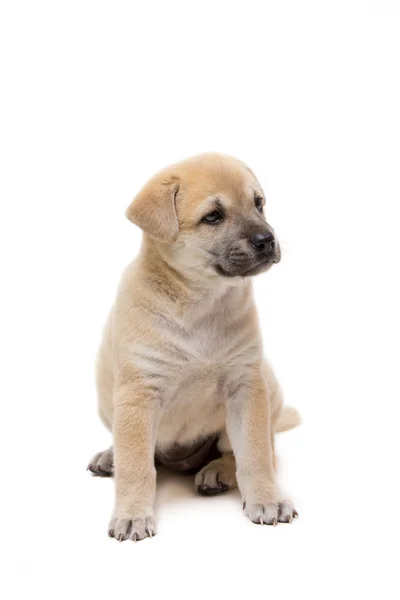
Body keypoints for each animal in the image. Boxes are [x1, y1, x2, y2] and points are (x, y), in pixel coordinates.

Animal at [87, 152, 300, 540]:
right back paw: (110, 456)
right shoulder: (138, 394)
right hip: (106, 397)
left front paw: (267, 498)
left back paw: (218, 471)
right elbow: (137, 465)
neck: (201, 305)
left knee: (257, 448)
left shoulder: (246, 387)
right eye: (213, 216)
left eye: (258, 204)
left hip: (268, 387)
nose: (267, 239)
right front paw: (132, 515)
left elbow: (256, 453)